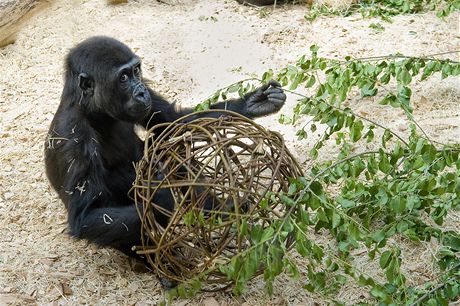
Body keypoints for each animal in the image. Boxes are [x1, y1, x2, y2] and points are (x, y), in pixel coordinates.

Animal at [45, 35, 286, 256]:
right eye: (123, 77)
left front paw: (253, 102)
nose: (141, 91)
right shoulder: (72, 138)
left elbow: (172, 122)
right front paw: (167, 200)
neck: (95, 110)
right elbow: (88, 215)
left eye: (135, 71)